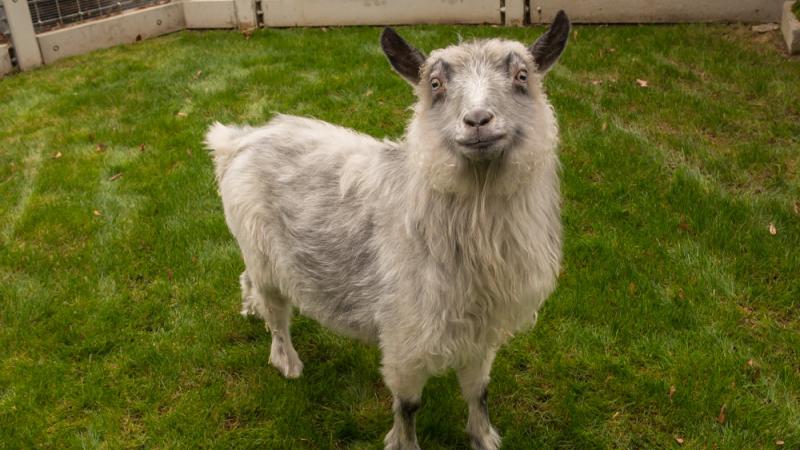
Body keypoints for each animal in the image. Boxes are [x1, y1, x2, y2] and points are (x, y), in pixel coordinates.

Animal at [206, 11, 568, 450]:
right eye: (435, 84)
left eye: (521, 76)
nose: (478, 121)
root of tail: (238, 140)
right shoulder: (404, 336)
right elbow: (409, 405)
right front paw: (405, 443)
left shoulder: (481, 334)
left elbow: (478, 391)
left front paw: (483, 437)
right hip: (263, 254)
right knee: (277, 314)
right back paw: (287, 361)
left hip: (255, 250)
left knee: (248, 281)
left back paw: (249, 308)